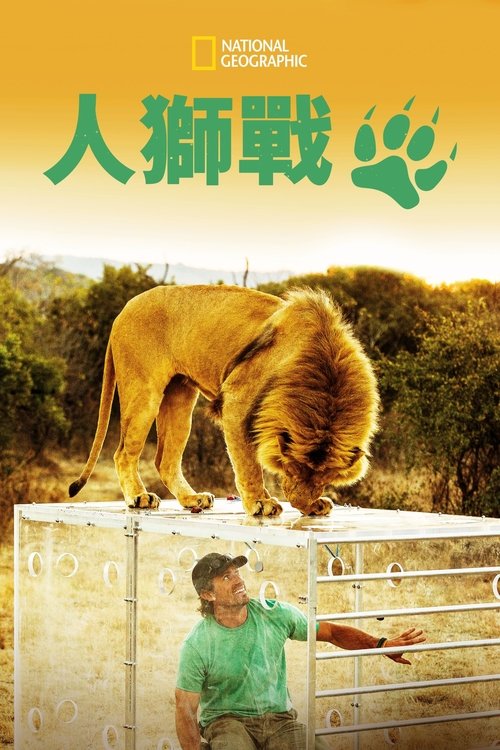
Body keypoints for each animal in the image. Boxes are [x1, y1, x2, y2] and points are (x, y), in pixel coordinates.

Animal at [69, 285, 379, 516]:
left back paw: (192, 499)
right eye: (290, 469)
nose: (301, 504)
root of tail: (122, 310)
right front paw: (260, 502)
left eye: (325, 478)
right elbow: (248, 462)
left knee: (165, 461)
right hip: (144, 392)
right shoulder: (236, 401)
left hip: (180, 398)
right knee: (123, 453)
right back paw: (139, 497)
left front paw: (313, 504)